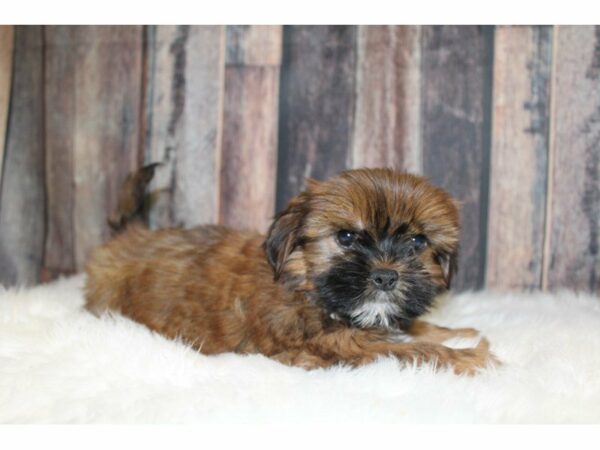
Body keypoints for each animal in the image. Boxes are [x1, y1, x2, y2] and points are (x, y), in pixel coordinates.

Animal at [85, 167, 496, 374]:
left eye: (417, 243)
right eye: (346, 237)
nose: (386, 276)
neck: (307, 283)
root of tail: (132, 235)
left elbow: (406, 329)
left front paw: (457, 333)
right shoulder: (328, 347)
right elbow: (402, 351)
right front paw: (467, 357)